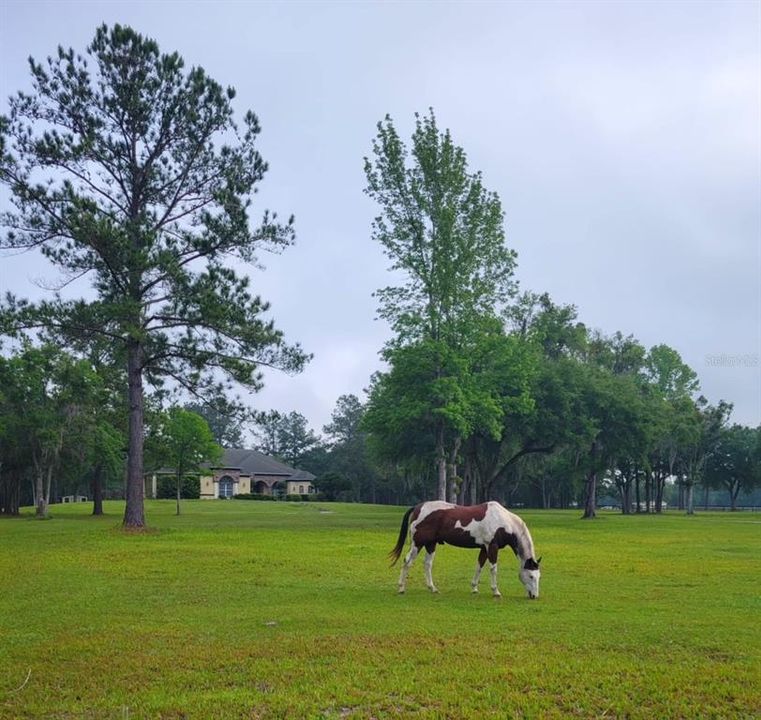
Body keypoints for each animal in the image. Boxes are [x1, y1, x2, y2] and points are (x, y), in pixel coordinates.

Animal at [392, 500, 540, 596]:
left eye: (539, 576)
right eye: (531, 576)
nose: (534, 596)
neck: (503, 521)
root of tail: (418, 507)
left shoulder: (484, 548)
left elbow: (479, 566)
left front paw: (474, 588)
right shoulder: (492, 547)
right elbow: (493, 569)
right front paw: (496, 591)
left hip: (430, 544)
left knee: (427, 564)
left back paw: (433, 588)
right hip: (418, 544)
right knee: (407, 561)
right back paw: (401, 588)